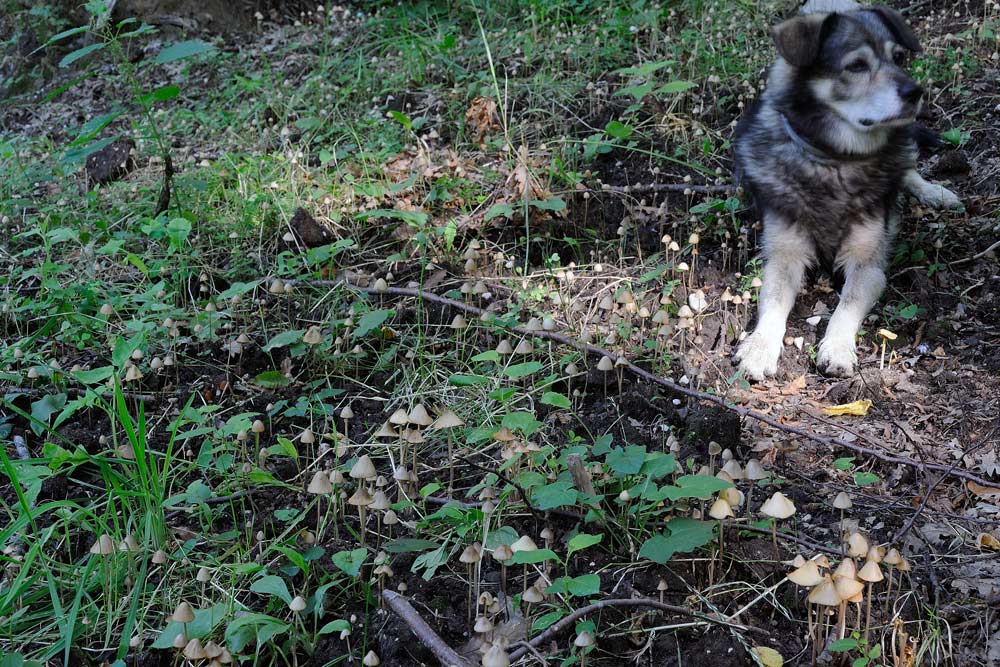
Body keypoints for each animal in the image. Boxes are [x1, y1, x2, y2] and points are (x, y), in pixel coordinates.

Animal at [736, 0, 960, 380]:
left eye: (899, 57)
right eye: (856, 66)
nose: (915, 92)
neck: (836, 160)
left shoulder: (867, 263)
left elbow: (847, 305)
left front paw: (837, 348)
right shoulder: (783, 256)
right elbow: (773, 304)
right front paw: (759, 348)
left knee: (907, 169)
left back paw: (933, 192)